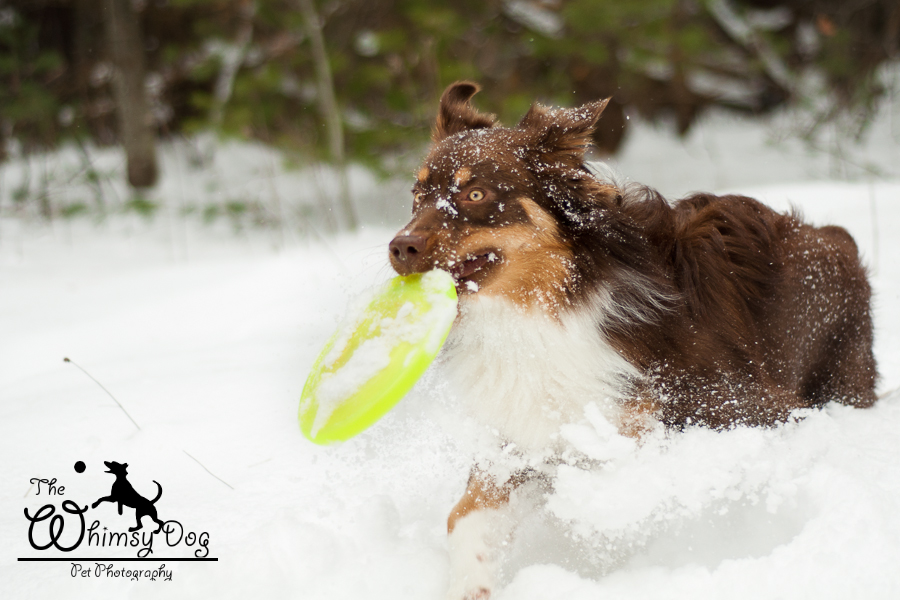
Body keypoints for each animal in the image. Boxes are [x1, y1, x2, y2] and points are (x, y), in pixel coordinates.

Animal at [388, 83, 880, 600]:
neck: (552, 307)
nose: (399, 248)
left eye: (476, 193)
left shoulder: (748, 408)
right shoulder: (524, 433)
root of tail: (838, 238)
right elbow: (465, 514)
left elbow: (625, 479)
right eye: (417, 195)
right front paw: (472, 583)